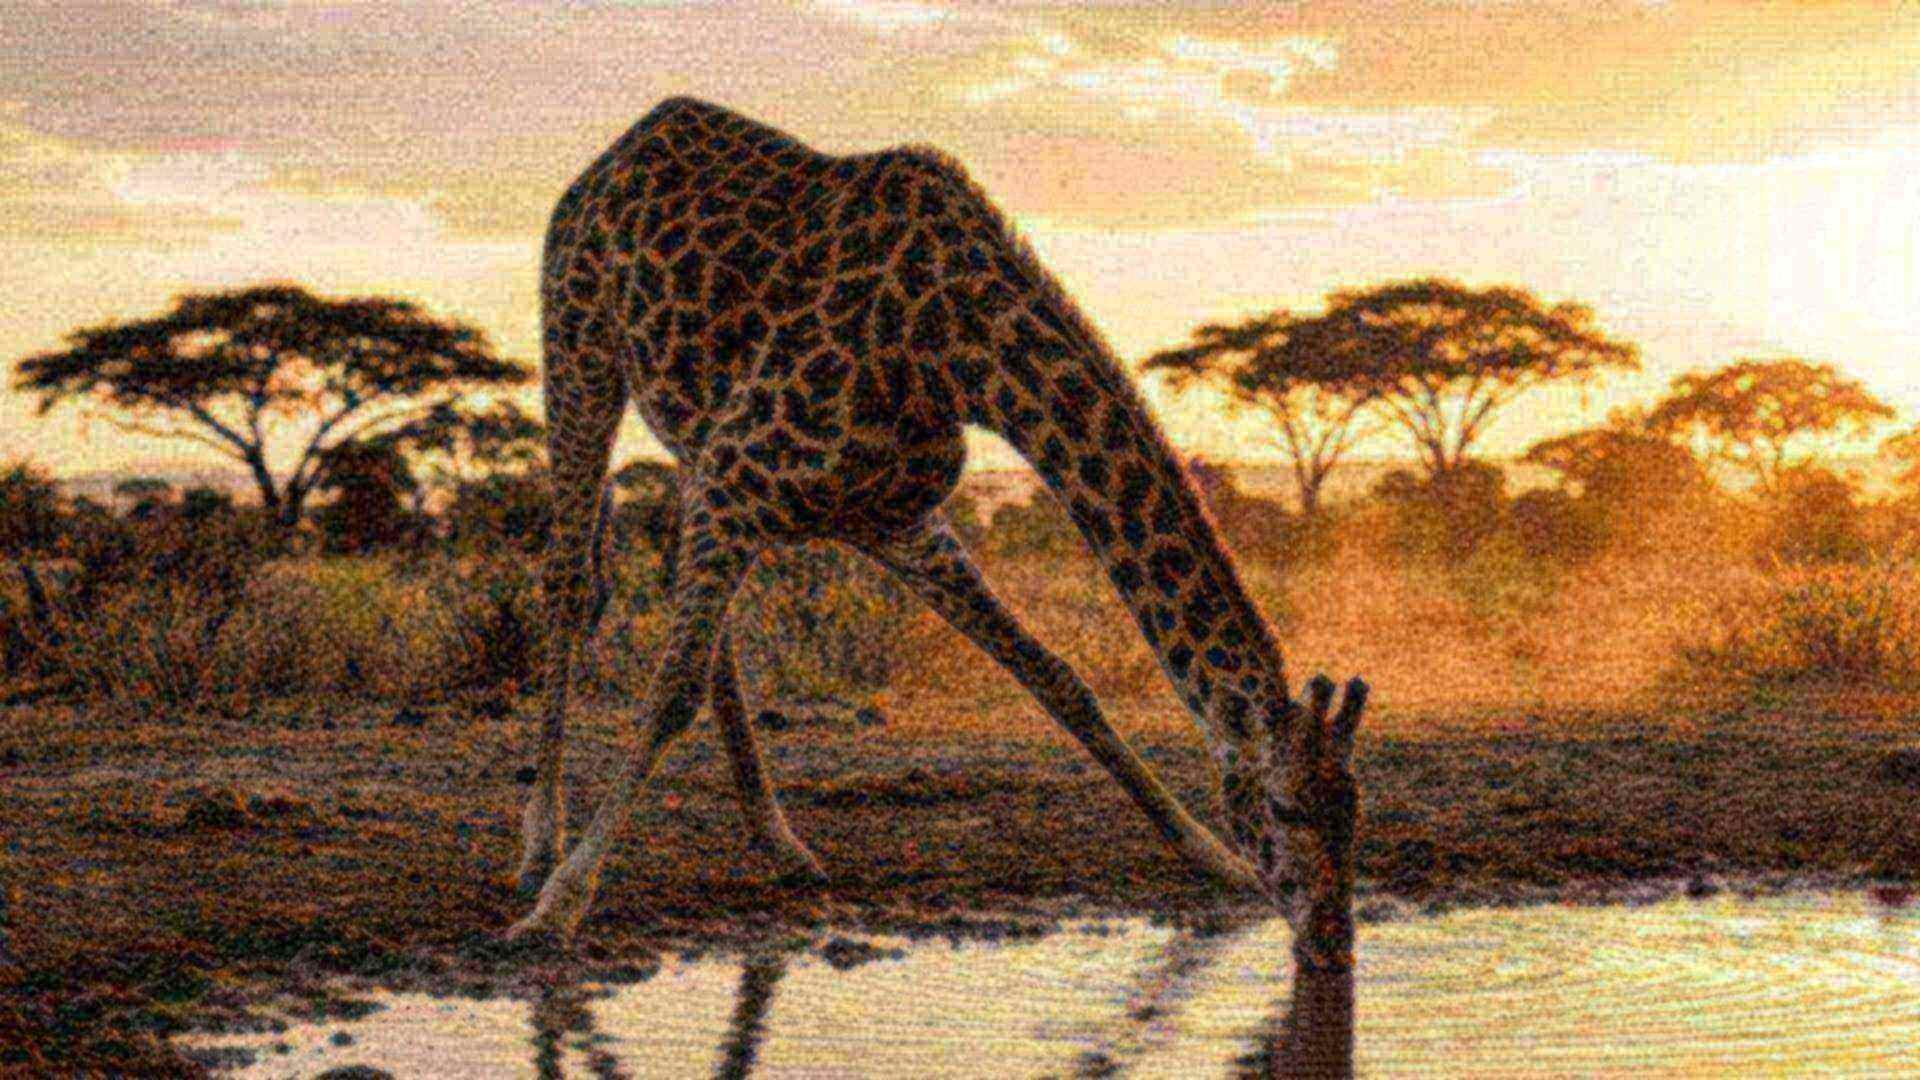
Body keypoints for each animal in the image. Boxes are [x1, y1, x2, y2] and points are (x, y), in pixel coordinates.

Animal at [510, 97, 1367, 951]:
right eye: (1284, 806)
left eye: (1352, 807)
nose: (1328, 930)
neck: (959, 354)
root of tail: (614, 154)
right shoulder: (741, 473)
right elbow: (670, 690)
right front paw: (561, 901)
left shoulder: (890, 517)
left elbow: (1055, 675)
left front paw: (1207, 852)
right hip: (582, 347)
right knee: (569, 581)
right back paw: (539, 846)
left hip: (693, 434)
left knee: (693, 616)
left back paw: (780, 842)